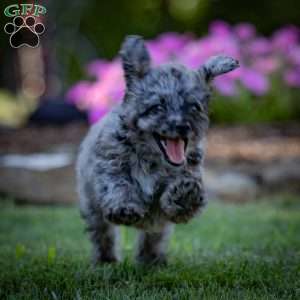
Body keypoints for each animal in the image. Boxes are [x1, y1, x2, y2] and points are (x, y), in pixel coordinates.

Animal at [77, 35, 239, 264]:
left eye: (194, 107)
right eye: (158, 107)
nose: (182, 126)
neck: (152, 159)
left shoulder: (187, 176)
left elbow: (173, 201)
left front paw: (184, 195)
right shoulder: (109, 167)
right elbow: (119, 185)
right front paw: (125, 206)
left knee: (154, 236)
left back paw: (151, 259)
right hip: (91, 205)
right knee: (102, 234)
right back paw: (106, 260)